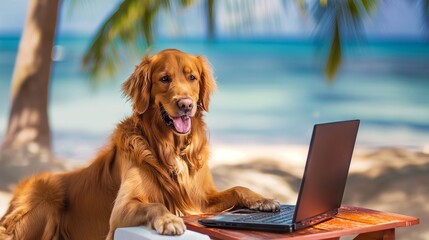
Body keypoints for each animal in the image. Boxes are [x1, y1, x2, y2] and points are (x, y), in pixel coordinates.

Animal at [0, 49, 280, 240]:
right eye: (164, 79)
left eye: (192, 77)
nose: (186, 104)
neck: (170, 149)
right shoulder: (120, 211)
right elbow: (155, 204)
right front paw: (169, 220)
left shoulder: (200, 198)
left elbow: (238, 187)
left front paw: (262, 199)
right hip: (44, 202)